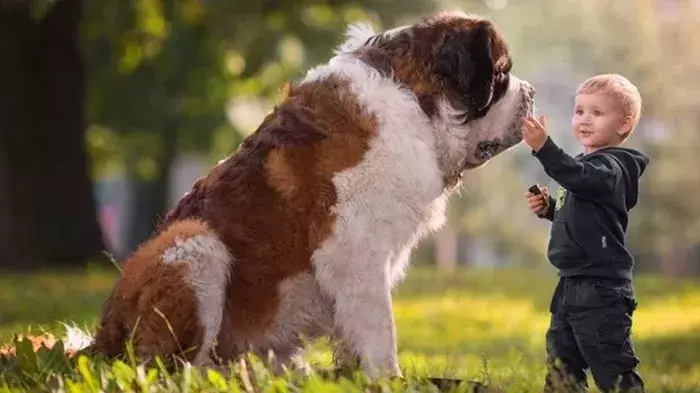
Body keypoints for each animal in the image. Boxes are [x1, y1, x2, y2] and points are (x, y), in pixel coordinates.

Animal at [86, 9, 536, 376]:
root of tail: (101, 337)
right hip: (194, 243)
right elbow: (380, 328)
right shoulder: (354, 252)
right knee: (175, 369)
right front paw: (388, 379)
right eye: (500, 75)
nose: (531, 93)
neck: (414, 99)